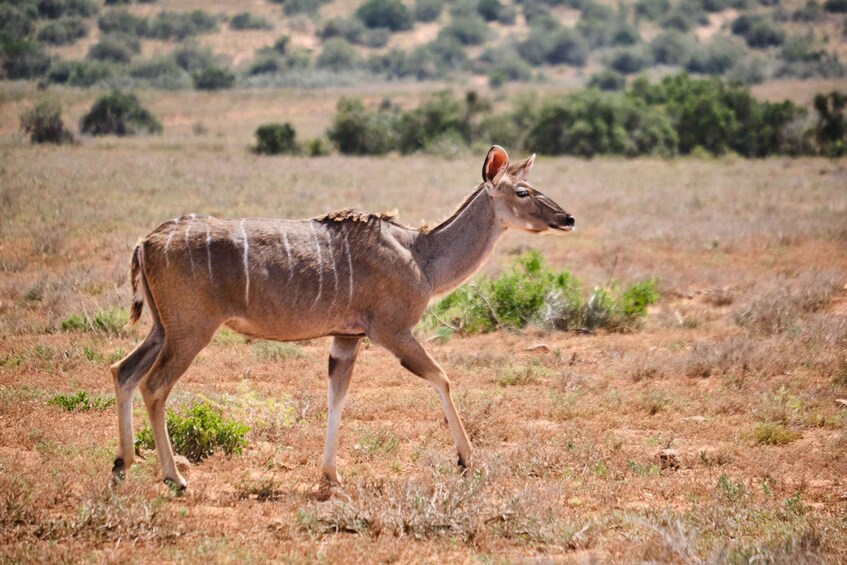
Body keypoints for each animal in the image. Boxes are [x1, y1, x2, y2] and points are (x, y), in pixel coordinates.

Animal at [111, 147, 576, 490]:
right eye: (522, 191)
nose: (567, 217)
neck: (421, 255)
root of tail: (145, 242)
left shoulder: (346, 338)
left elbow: (337, 398)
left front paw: (331, 475)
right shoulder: (392, 331)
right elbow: (441, 378)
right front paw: (466, 459)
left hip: (163, 328)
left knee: (123, 371)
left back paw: (123, 463)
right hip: (191, 331)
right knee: (154, 385)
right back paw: (173, 477)